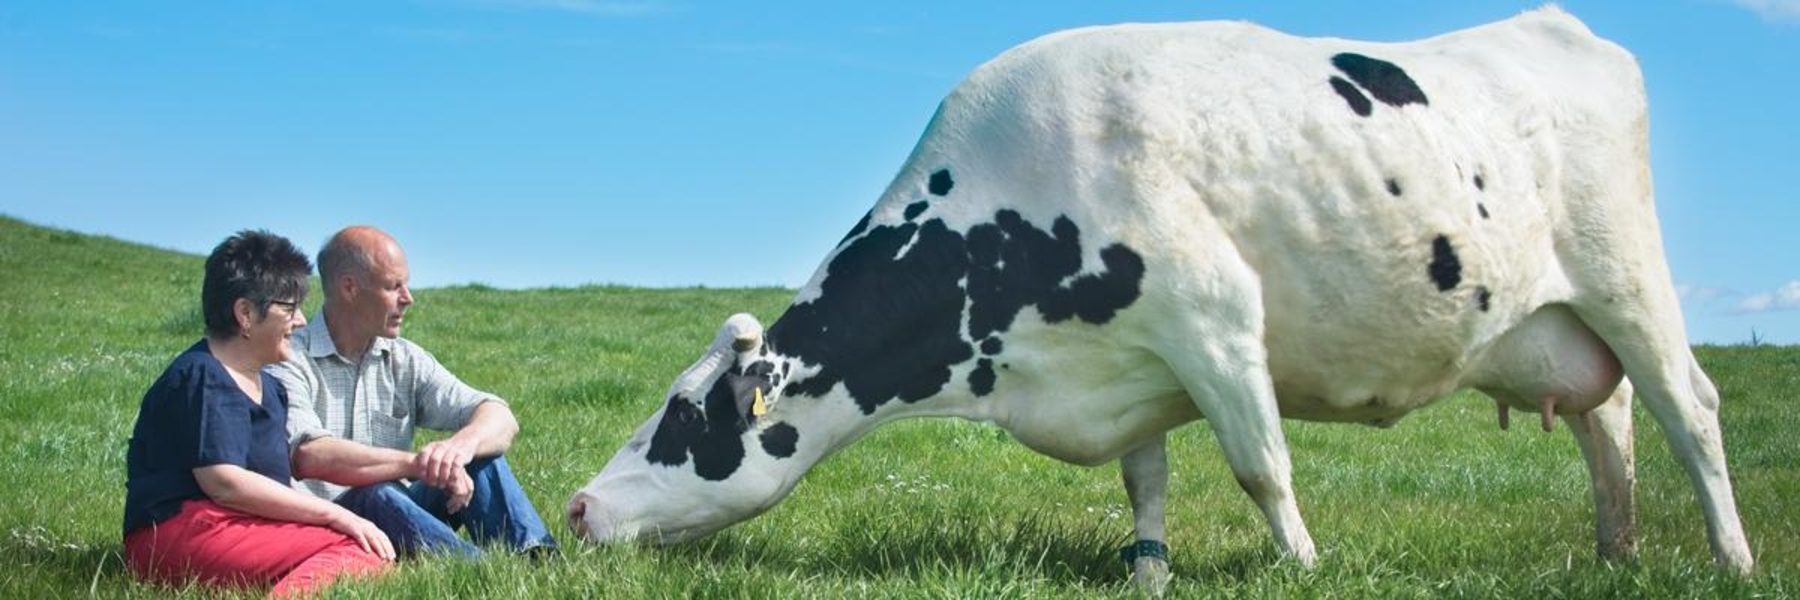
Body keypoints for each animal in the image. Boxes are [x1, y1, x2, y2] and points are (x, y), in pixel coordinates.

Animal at [569, 6, 1754, 591]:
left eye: (685, 416)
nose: (576, 507)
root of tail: (1554, 23)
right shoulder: (1129, 364)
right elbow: (1147, 482)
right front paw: (1149, 573)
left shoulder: (1215, 320)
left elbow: (1262, 465)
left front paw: (1305, 568)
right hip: (1549, 325)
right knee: (1609, 422)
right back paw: (1615, 556)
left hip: (1629, 279)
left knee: (1688, 410)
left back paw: (1731, 560)